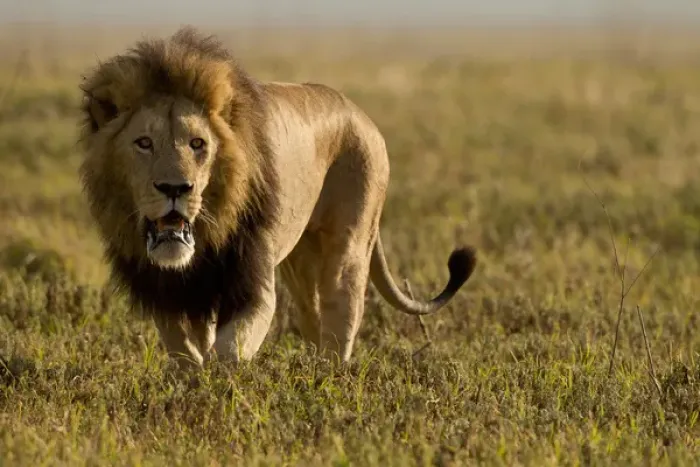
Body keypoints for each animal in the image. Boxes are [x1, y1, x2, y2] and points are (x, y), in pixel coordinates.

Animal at [78, 27, 477, 370]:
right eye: (144, 143)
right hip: (299, 262)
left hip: (347, 247)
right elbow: (186, 351)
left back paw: (332, 382)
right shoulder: (170, 292)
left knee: (341, 319)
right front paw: (195, 382)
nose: (176, 188)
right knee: (314, 322)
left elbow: (228, 349)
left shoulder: (253, 285)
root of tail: (359, 113)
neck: (207, 235)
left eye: (198, 144)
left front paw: (219, 385)